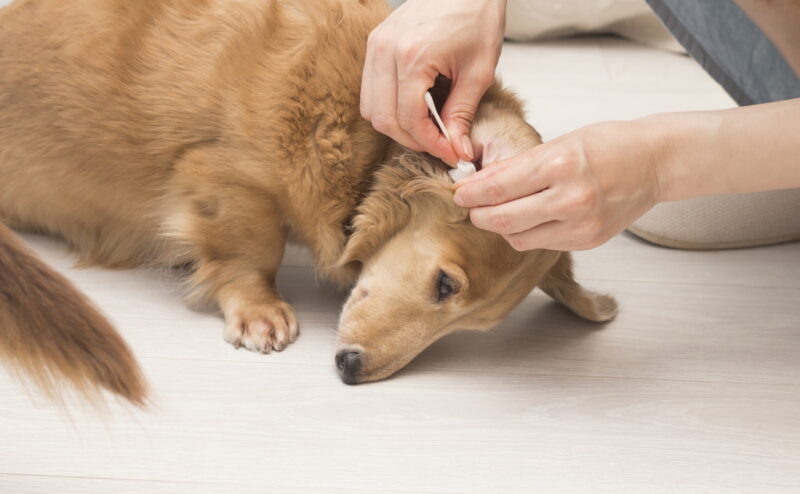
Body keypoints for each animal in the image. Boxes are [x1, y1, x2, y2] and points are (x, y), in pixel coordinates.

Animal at [0, 0, 616, 403]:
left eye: (472, 326)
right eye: (445, 284)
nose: (350, 371)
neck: (367, 142)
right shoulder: (225, 178)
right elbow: (253, 249)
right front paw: (259, 310)